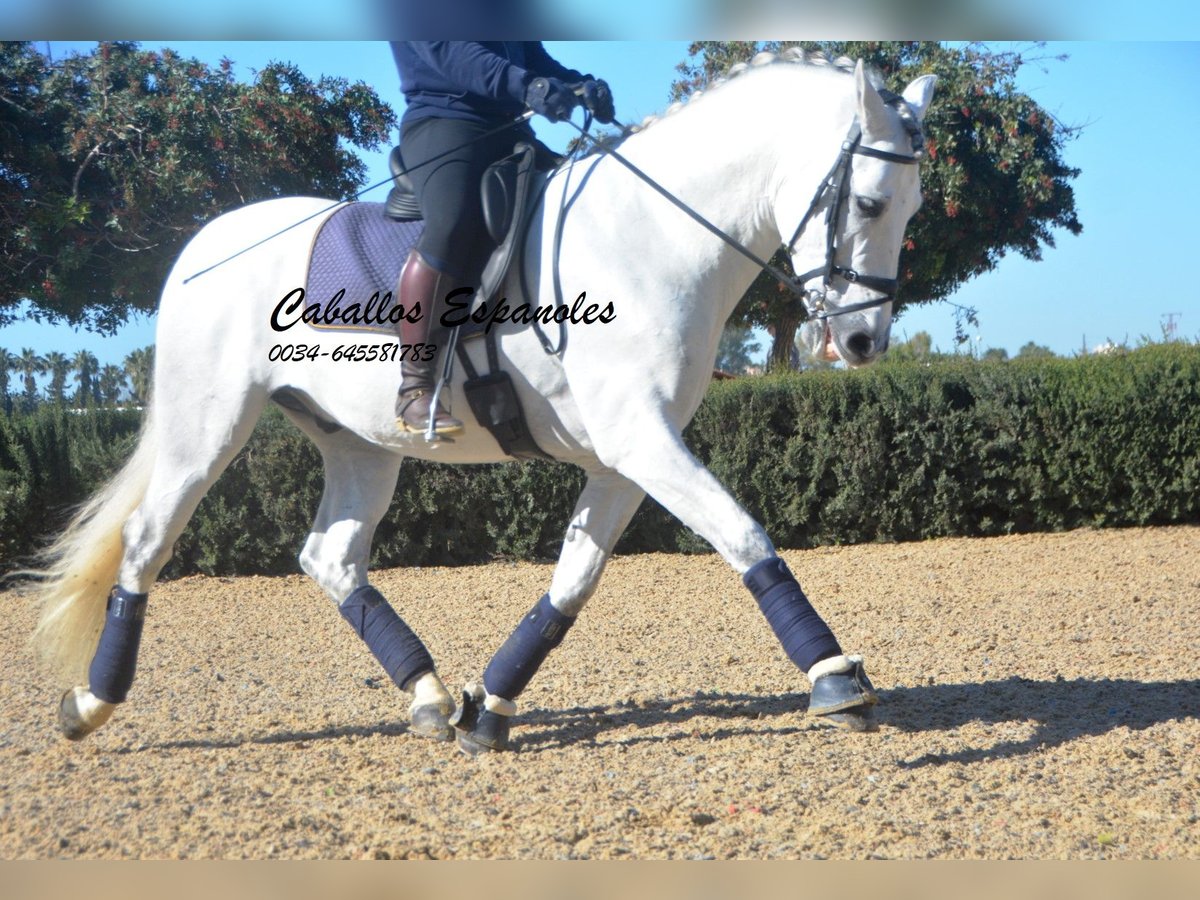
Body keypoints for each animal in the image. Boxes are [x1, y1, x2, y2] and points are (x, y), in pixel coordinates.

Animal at [25, 49, 926, 753]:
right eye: (870, 203)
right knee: (148, 542)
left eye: (914, 207)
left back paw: (428, 697)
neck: (651, 236)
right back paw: (90, 702)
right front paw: (836, 678)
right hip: (206, 426)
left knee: (330, 557)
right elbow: (743, 534)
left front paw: (488, 706)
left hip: (358, 444)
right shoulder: (640, 440)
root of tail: (201, 246)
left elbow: (572, 583)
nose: (862, 343)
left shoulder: (627, 457)